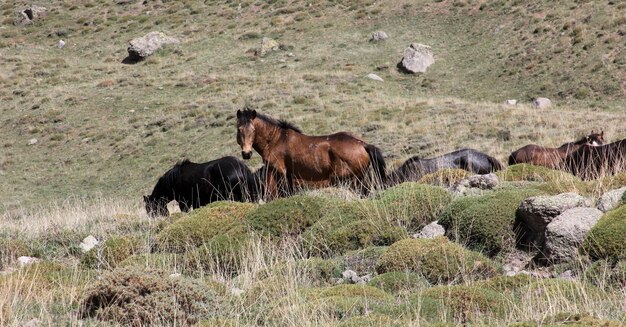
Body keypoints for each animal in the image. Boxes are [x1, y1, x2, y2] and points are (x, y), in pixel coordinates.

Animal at [235, 109, 386, 199]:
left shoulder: (277, 172)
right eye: (239, 129)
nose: (246, 153)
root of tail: (363, 145)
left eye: (253, 130)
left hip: (351, 180)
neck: (276, 140)